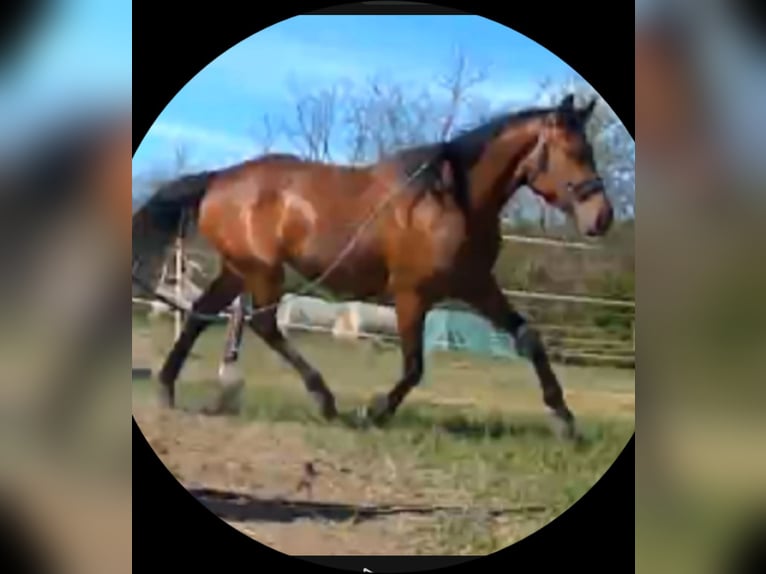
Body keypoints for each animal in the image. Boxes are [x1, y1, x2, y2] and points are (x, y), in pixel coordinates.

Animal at [131, 93, 613, 439]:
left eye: (590, 149)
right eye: (573, 151)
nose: (602, 217)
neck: (450, 199)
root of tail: (218, 180)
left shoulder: (477, 286)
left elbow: (529, 338)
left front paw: (564, 418)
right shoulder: (412, 296)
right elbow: (414, 367)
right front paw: (374, 411)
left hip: (239, 270)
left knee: (202, 314)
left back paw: (167, 388)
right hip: (262, 271)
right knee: (263, 324)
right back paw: (324, 400)